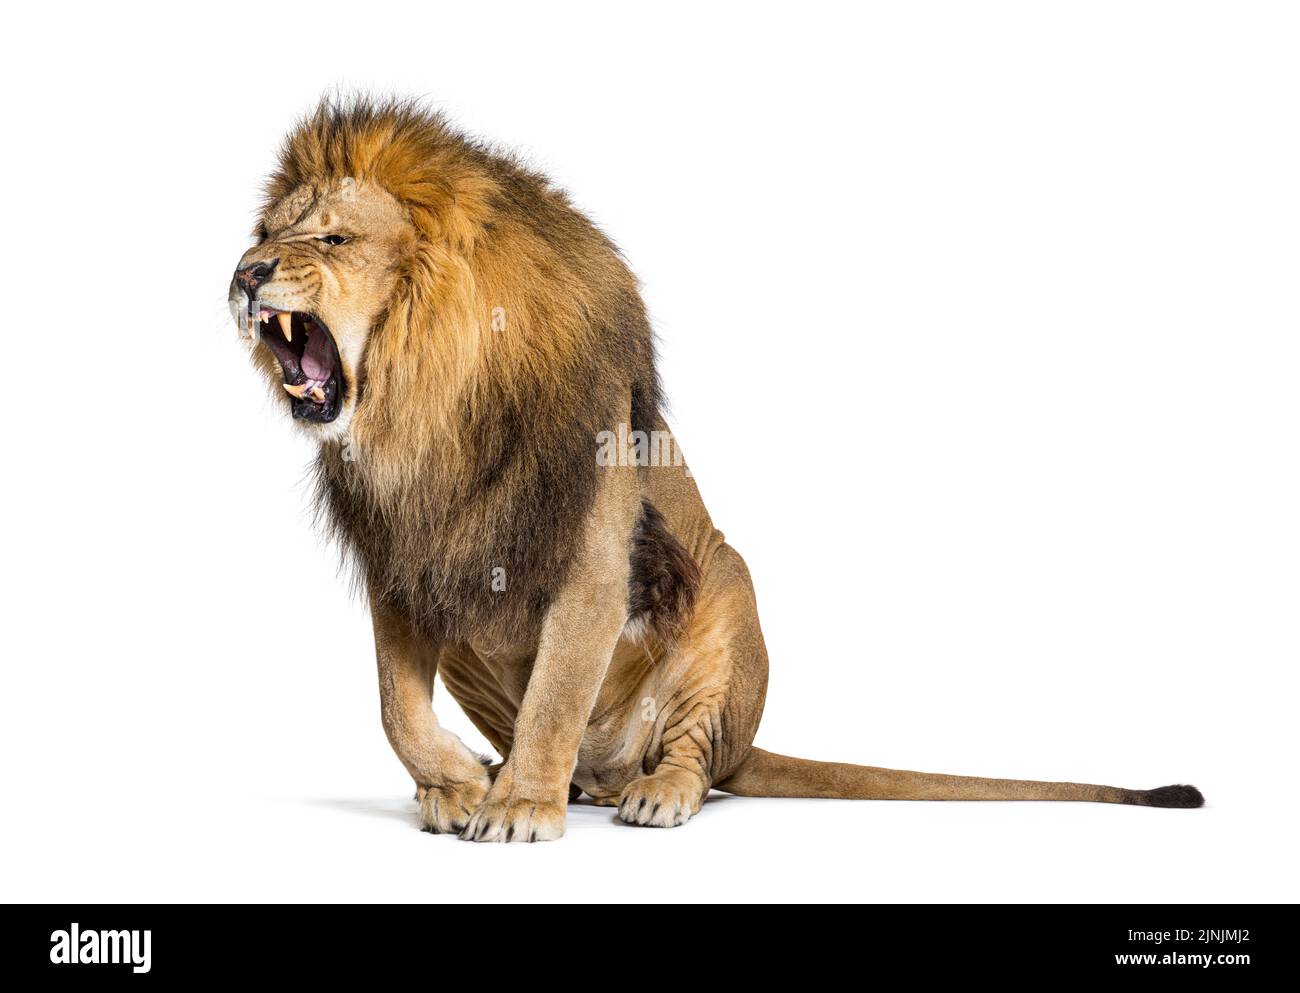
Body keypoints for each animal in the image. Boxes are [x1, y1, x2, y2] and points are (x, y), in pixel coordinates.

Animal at [228, 96, 1201, 842]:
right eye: (266, 233)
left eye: (333, 238)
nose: (245, 274)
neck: (425, 405)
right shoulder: (412, 554)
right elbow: (396, 703)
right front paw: (457, 785)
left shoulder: (594, 555)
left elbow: (555, 695)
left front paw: (519, 807)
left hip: (727, 591)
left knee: (690, 754)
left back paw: (641, 791)